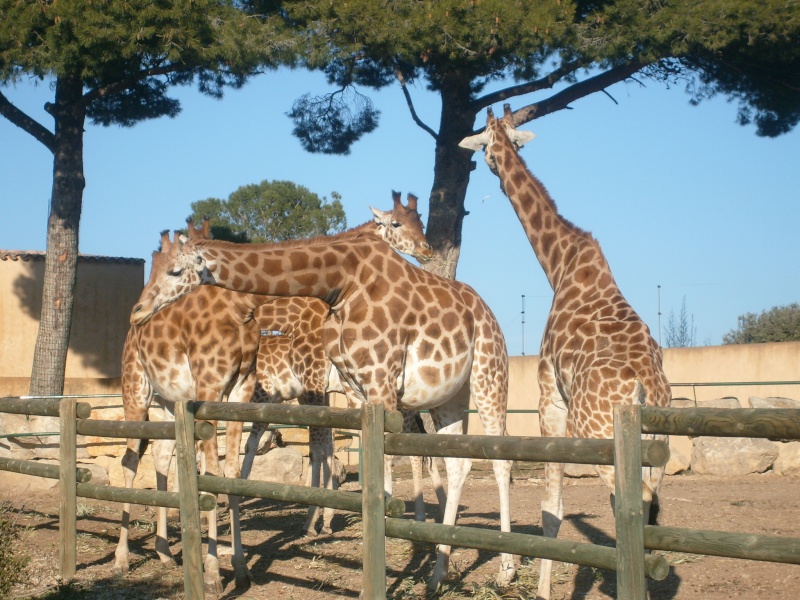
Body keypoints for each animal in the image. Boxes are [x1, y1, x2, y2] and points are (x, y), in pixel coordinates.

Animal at [130, 221, 520, 592]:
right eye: (153, 268)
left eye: (174, 271)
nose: (137, 312)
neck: (338, 284)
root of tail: (488, 313)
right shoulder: (355, 388)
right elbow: (342, 457)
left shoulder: (377, 380)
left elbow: (359, 462)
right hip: (448, 395)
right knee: (458, 463)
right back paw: (438, 574)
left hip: (489, 374)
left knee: (500, 458)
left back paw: (506, 570)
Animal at [460, 105, 672, 600]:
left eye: (487, 148)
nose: (490, 168)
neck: (559, 265)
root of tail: (646, 393)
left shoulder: (549, 397)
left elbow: (551, 506)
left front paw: (540, 589)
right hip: (660, 451)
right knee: (651, 508)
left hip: (601, 438)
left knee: (633, 506)